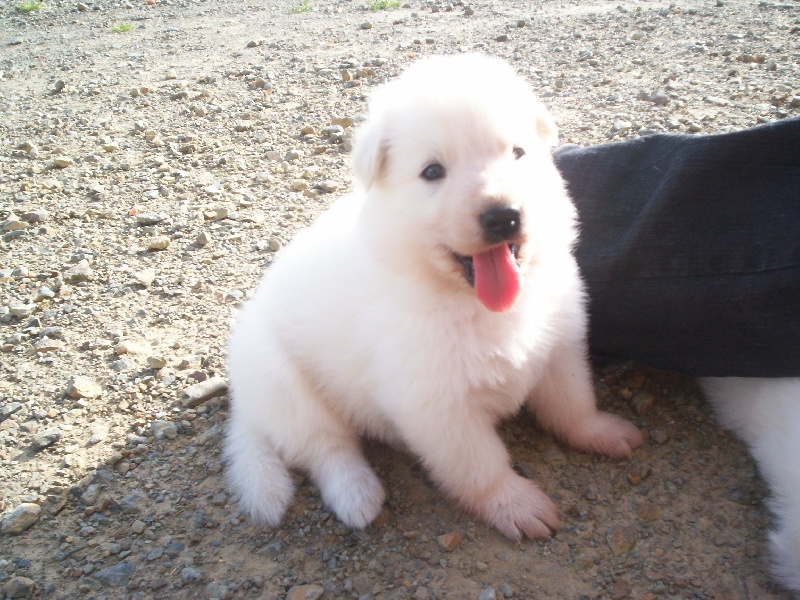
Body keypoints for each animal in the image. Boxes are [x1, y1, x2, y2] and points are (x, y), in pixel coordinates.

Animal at [225, 56, 644, 540]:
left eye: (518, 153)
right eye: (432, 172)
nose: (503, 216)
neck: (473, 303)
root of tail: (245, 408)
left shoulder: (558, 347)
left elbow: (573, 404)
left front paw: (601, 432)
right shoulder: (437, 406)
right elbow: (481, 463)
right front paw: (515, 504)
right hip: (282, 382)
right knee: (327, 447)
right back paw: (358, 494)